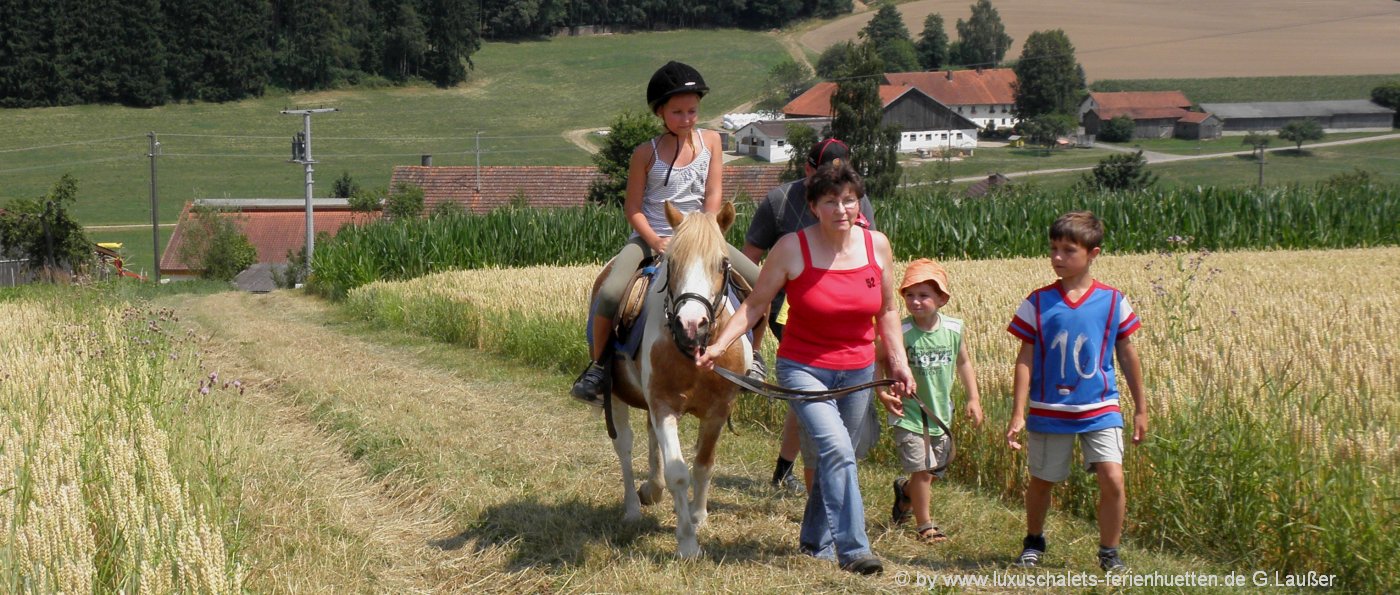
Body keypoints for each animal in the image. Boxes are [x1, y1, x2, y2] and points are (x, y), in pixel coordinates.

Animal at [585, 198, 750, 557]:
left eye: (723, 264)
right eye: (673, 263)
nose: (691, 324)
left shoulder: (718, 410)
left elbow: (703, 463)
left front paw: (699, 516)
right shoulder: (663, 405)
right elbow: (678, 472)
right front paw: (687, 542)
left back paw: (653, 489)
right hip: (616, 396)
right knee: (625, 447)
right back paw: (634, 506)